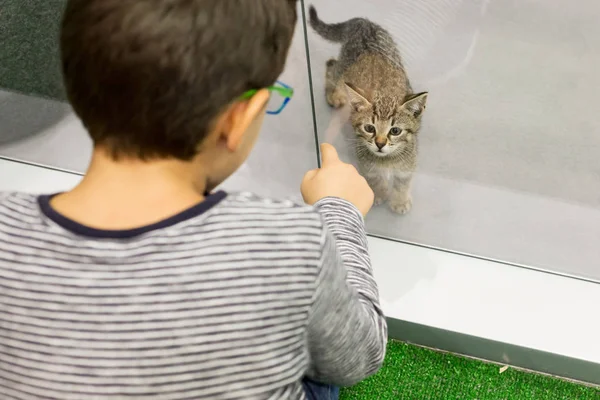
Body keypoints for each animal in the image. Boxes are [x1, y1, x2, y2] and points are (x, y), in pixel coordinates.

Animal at [310, 4, 426, 214]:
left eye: (395, 131)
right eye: (369, 128)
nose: (379, 143)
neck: (387, 160)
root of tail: (364, 23)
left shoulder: (408, 161)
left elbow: (403, 181)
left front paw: (400, 200)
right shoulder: (364, 160)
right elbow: (375, 178)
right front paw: (379, 193)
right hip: (343, 68)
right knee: (331, 66)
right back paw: (334, 95)